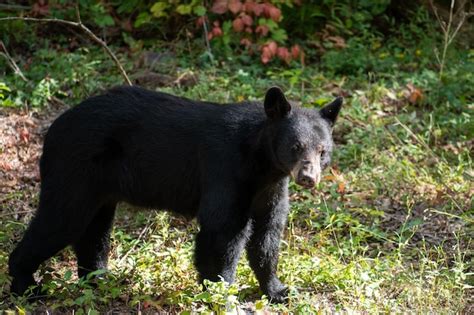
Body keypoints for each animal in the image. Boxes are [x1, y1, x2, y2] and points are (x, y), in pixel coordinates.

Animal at [9, 86, 342, 304]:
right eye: (296, 147)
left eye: (323, 150)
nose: (308, 177)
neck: (262, 163)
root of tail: (53, 128)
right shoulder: (226, 170)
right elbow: (223, 230)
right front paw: (223, 295)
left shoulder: (270, 189)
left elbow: (267, 235)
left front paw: (278, 290)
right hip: (75, 168)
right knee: (61, 219)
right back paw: (27, 286)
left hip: (99, 186)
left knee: (93, 230)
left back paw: (99, 279)